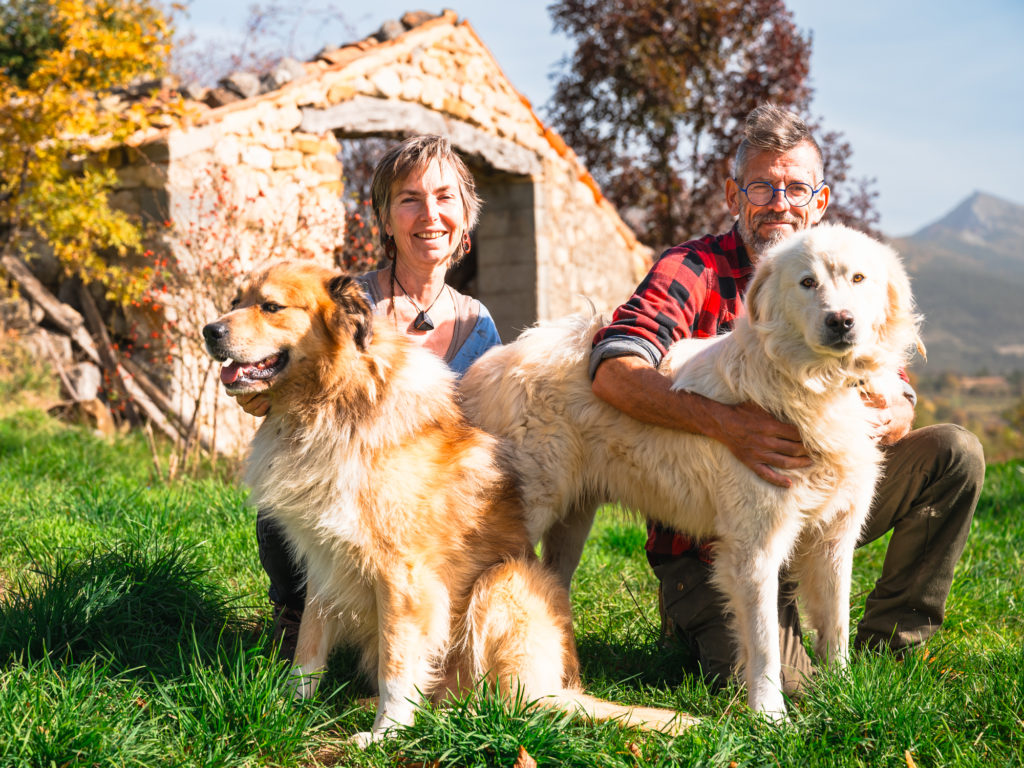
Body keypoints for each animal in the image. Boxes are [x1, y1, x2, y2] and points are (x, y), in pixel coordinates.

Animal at [201, 262, 696, 749]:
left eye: (271, 307)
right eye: (236, 301)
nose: (209, 330)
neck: (333, 402)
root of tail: (562, 690)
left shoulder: (403, 577)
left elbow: (397, 664)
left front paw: (387, 732)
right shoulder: (326, 559)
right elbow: (309, 646)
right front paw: (286, 704)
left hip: (505, 580)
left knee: (514, 706)